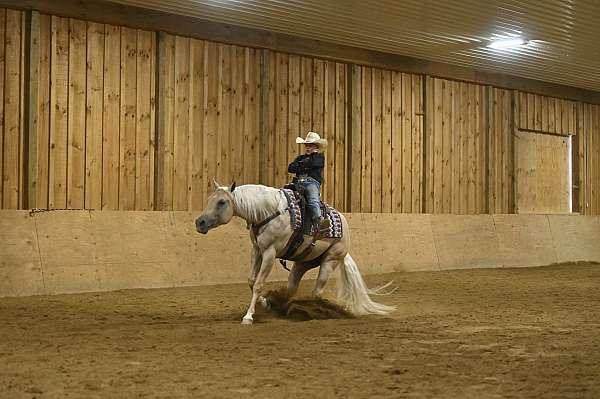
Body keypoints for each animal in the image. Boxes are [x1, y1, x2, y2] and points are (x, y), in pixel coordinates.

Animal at [195, 182, 396, 324]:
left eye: (222, 202)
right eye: (209, 199)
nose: (200, 222)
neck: (268, 212)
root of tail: (344, 227)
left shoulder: (270, 253)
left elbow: (259, 284)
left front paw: (249, 316)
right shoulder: (257, 250)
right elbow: (252, 281)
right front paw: (266, 303)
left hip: (330, 260)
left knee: (317, 291)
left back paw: (312, 310)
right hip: (303, 262)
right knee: (293, 286)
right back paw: (287, 306)